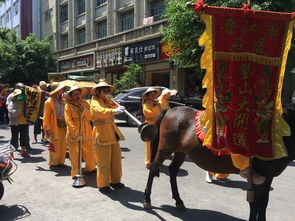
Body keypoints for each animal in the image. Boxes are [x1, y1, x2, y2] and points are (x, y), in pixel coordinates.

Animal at [144, 103, 295, 221]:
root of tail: (170, 110)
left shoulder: (268, 177)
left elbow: (263, 203)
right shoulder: (258, 177)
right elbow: (255, 205)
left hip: (181, 152)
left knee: (173, 170)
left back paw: (179, 201)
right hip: (165, 149)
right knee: (153, 168)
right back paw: (147, 200)